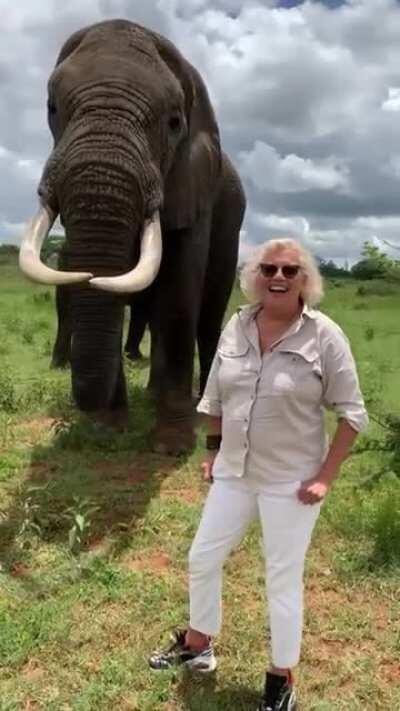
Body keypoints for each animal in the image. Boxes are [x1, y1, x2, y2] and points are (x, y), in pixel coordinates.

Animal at [19, 19, 246, 453]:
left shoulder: (195, 186)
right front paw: (110, 429)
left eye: (174, 123)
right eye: (52, 108)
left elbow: (179, 294)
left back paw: (209, 404)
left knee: (209, 314)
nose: (90, 410)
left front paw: (170, 444)